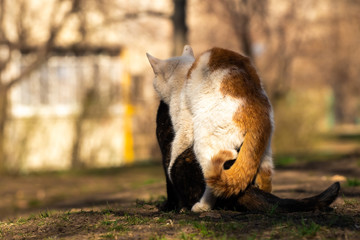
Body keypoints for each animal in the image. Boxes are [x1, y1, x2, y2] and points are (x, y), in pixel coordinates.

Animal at [146, 45, 272, 212]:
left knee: (212, 182)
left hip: (204, 142)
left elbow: (174, 153)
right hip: (264, 153)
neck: (184, 74)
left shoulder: (184, 126)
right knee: (265, 180)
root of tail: (255, 107)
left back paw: (203, 205)